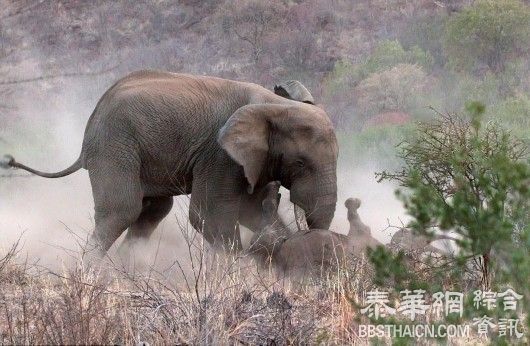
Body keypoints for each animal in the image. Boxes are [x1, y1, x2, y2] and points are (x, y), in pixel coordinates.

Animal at [1, 71, 338, 254]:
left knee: (152, 211)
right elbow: (209, 216)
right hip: (114, 146)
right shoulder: (218, 154)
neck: (277, 105)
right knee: (121, 210)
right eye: (301, 163)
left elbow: (251, 211)